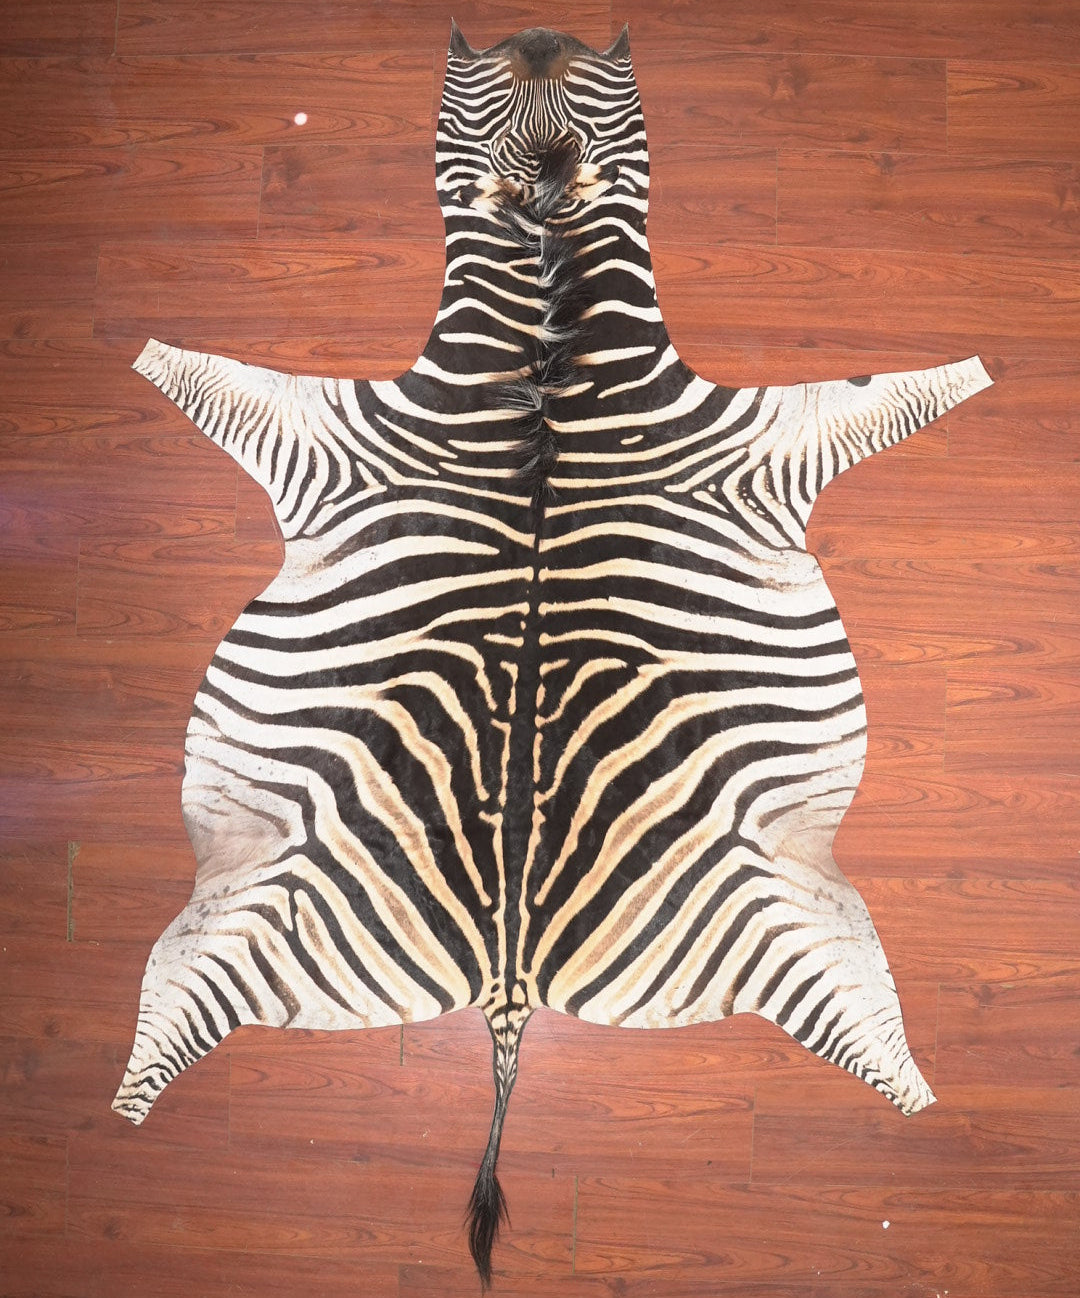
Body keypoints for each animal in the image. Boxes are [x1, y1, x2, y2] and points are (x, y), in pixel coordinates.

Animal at [114, 24, 992, 1284]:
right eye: (491, 82)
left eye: (589, 78)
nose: (539, 34)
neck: (544, 303)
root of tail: (510, 977)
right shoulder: (340, 429)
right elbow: (220, 377)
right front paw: (143, 348)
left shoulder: (749, 439)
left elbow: (881, 390)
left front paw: (973, 370)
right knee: (165, 1008)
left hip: (773, 898)